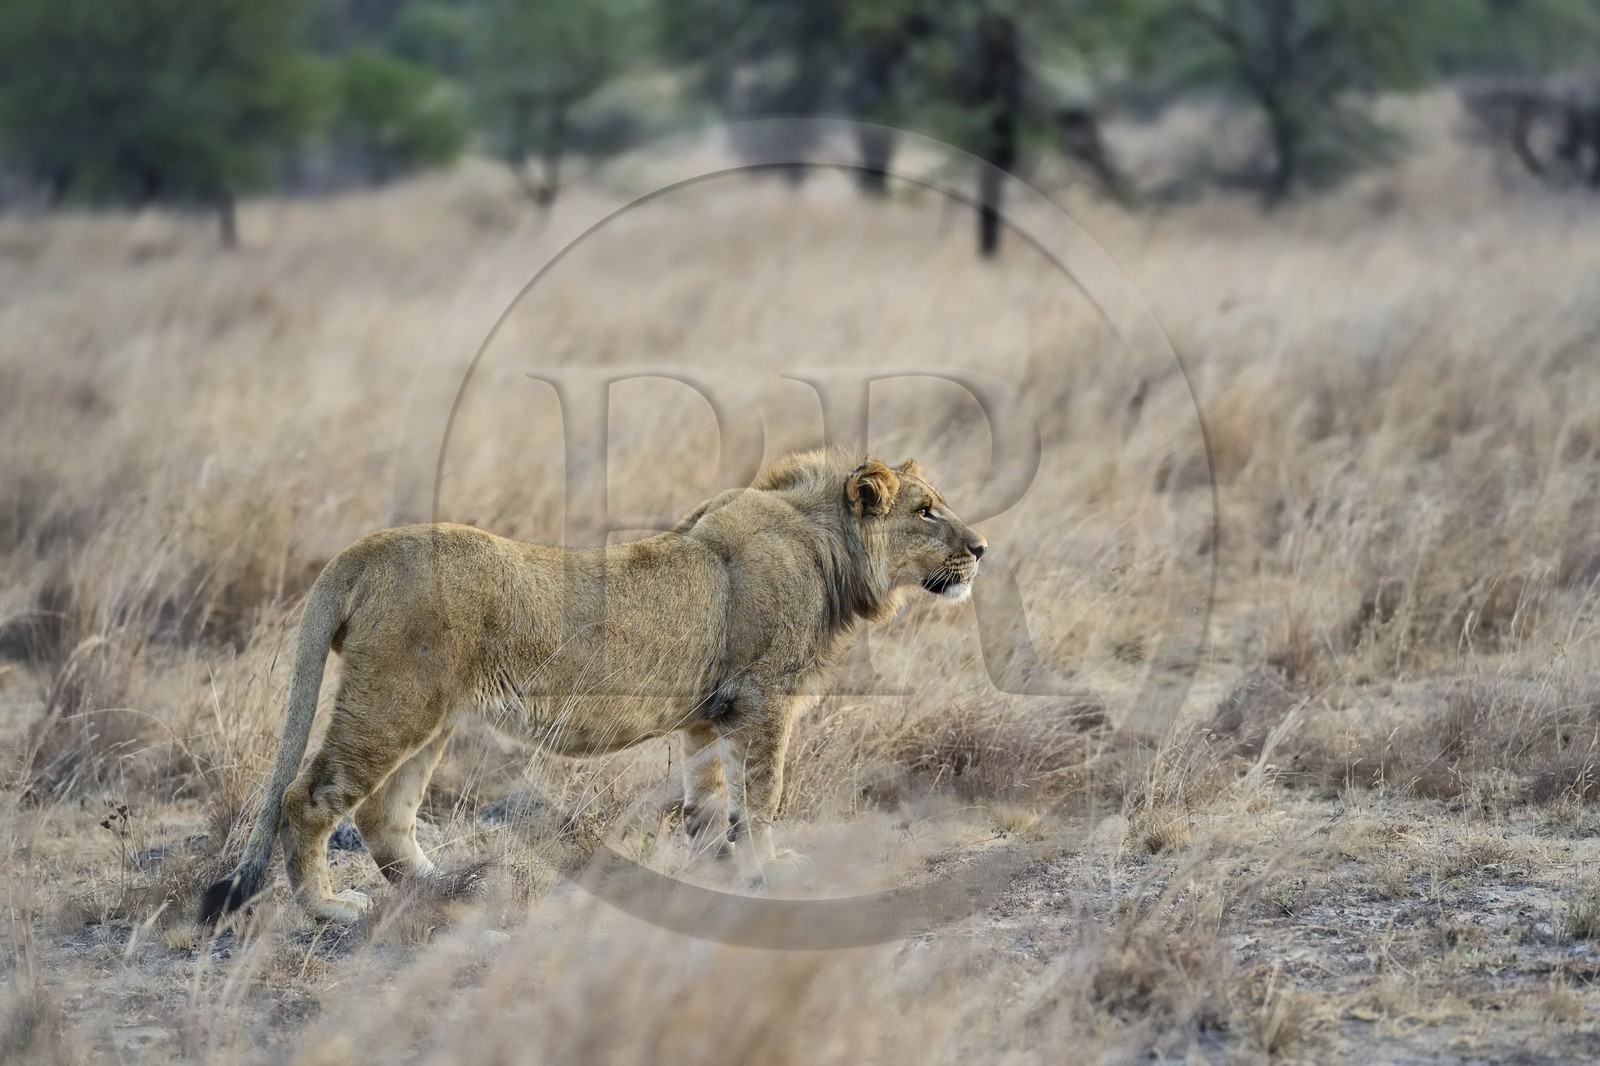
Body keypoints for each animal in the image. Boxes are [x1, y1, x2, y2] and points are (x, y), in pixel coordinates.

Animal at [199, 449, 987, 924]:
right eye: (926, 511)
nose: (981, 548)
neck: (830, 551)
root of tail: (364, 550)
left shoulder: (712, 712)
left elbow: (709, 798)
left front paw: (713, 865)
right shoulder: (764, 700)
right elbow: (762, 797)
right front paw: (768, 869)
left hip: (429, 715)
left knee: (383, 814)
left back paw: (443, 887)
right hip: (394, 701)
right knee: (309, 797)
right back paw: (329, 909)